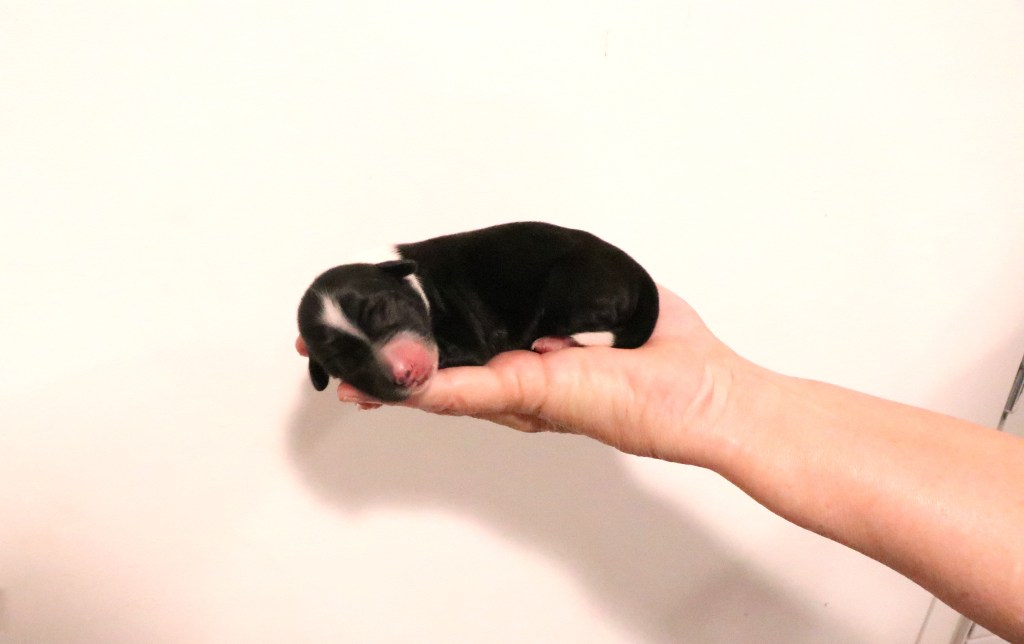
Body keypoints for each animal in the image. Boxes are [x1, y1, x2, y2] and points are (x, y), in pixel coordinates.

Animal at [297, 222, 658, 402]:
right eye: (343, 361)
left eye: (383, 310)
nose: (405, 374)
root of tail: (639, 276)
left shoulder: (465, 337)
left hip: (570, 286)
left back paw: (552, 342)